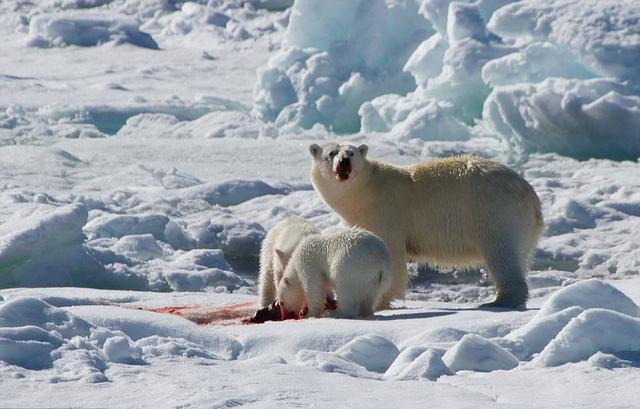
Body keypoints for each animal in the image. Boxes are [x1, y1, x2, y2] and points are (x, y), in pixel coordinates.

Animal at [308, 143, 544, 306]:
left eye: (351, 153)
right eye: (331, 153)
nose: (343, 162)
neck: (364, 192)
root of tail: (531, 197)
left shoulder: (387, 211)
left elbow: (392, 255)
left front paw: (380, 301)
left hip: (494, 211)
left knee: (501, 252)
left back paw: (500, 300)